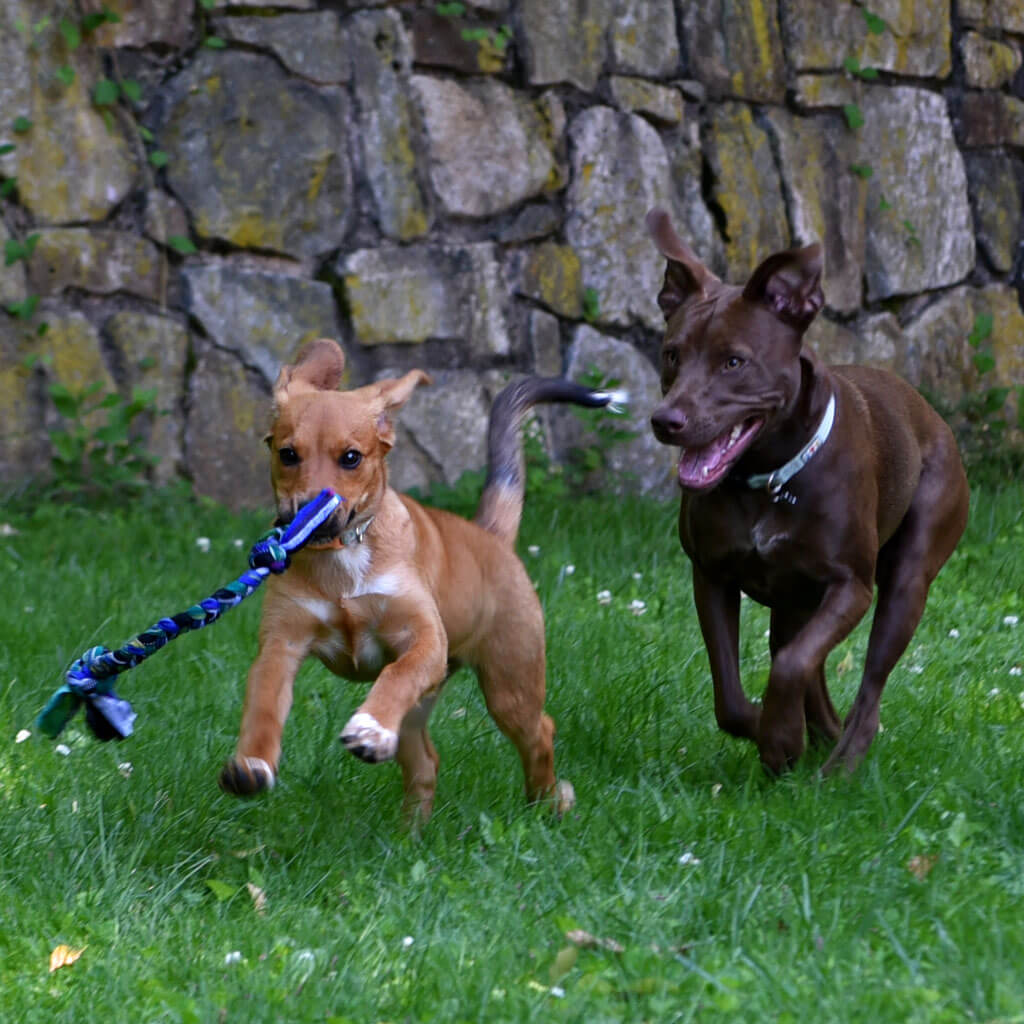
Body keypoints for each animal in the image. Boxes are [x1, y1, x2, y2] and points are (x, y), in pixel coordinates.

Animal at [218, 338, 624, 821]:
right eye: (287, 454)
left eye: (351, 458)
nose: (307, 516)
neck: (344, 563)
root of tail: (491, 536)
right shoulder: (282, 643)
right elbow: (263, 701)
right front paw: (251, 764)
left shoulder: (425, 640)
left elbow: (396, 674)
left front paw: (370, 726)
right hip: (427, 704)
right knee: (425, 763)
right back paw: (409, 832)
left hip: (511, 679)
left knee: (540, 730)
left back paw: (548, 802)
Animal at [646, 208, 969, 775]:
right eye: (671, 355)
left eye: (734, 362)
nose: (666, 421)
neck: (771, 480)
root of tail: (929, 413)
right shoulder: (711, 575)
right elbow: (731, 697)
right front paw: (770, 731)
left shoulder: (850, 586)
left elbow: (793, 664)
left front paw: (779, 738)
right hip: (793, 603)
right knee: (804, 665)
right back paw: (818, 736)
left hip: (907, 580)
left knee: (868, 686)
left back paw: (842, 761)